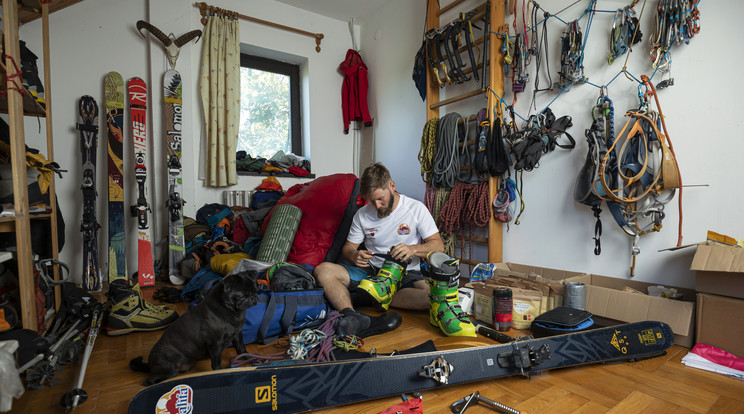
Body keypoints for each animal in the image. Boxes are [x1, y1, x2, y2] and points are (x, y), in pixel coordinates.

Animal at [128, 272, 256, 384]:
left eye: (255, 290)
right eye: (241, 296)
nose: (254, 297)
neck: (232, 311)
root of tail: (150, 364)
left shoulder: (237, 335)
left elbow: (241, 349)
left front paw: (249, 358)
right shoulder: (215, 343)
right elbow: (216, 362)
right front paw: (220, 371)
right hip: (169, 367)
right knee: (150, 380)